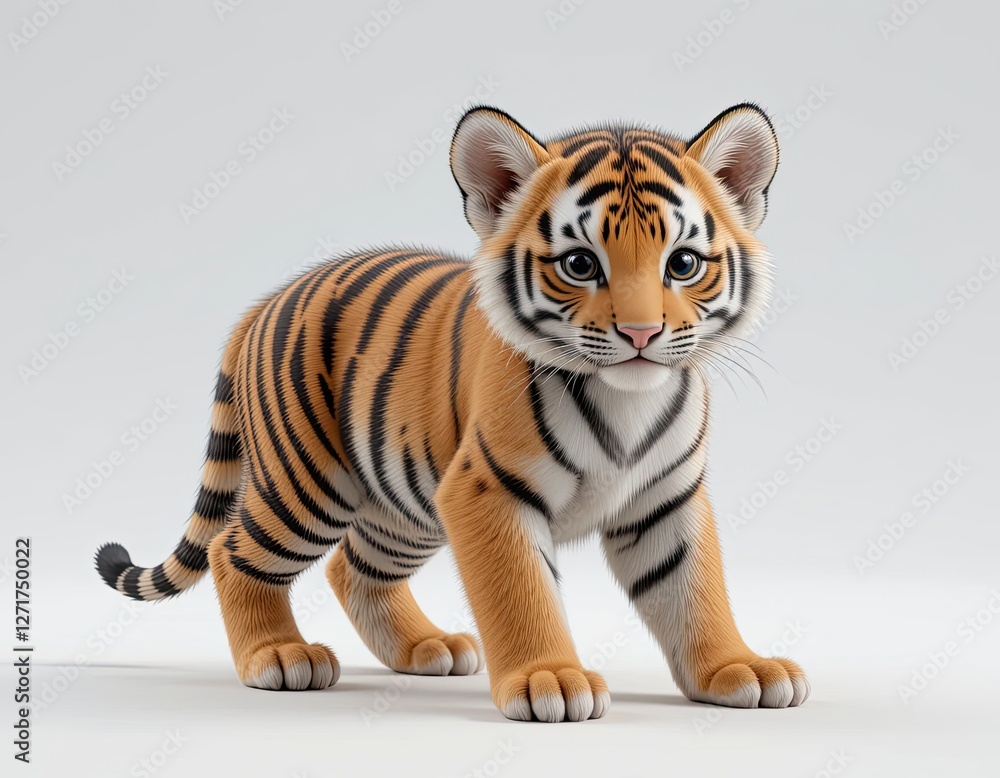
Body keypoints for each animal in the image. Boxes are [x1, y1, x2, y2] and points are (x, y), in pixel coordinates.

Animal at [95, 103, 810, 722]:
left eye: (682, 263)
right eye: (580, 264)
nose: (641, 333)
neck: (627, 398)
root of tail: (263, 304)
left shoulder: (667, 497)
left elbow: (694, 588)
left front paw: (738, 668)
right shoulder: (488, 488)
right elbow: (521, 592)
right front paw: (550, 679)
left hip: (402, 502)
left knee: (352, 568)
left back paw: (424, 648)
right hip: (307, 483)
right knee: (232, 551)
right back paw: (278, 655)